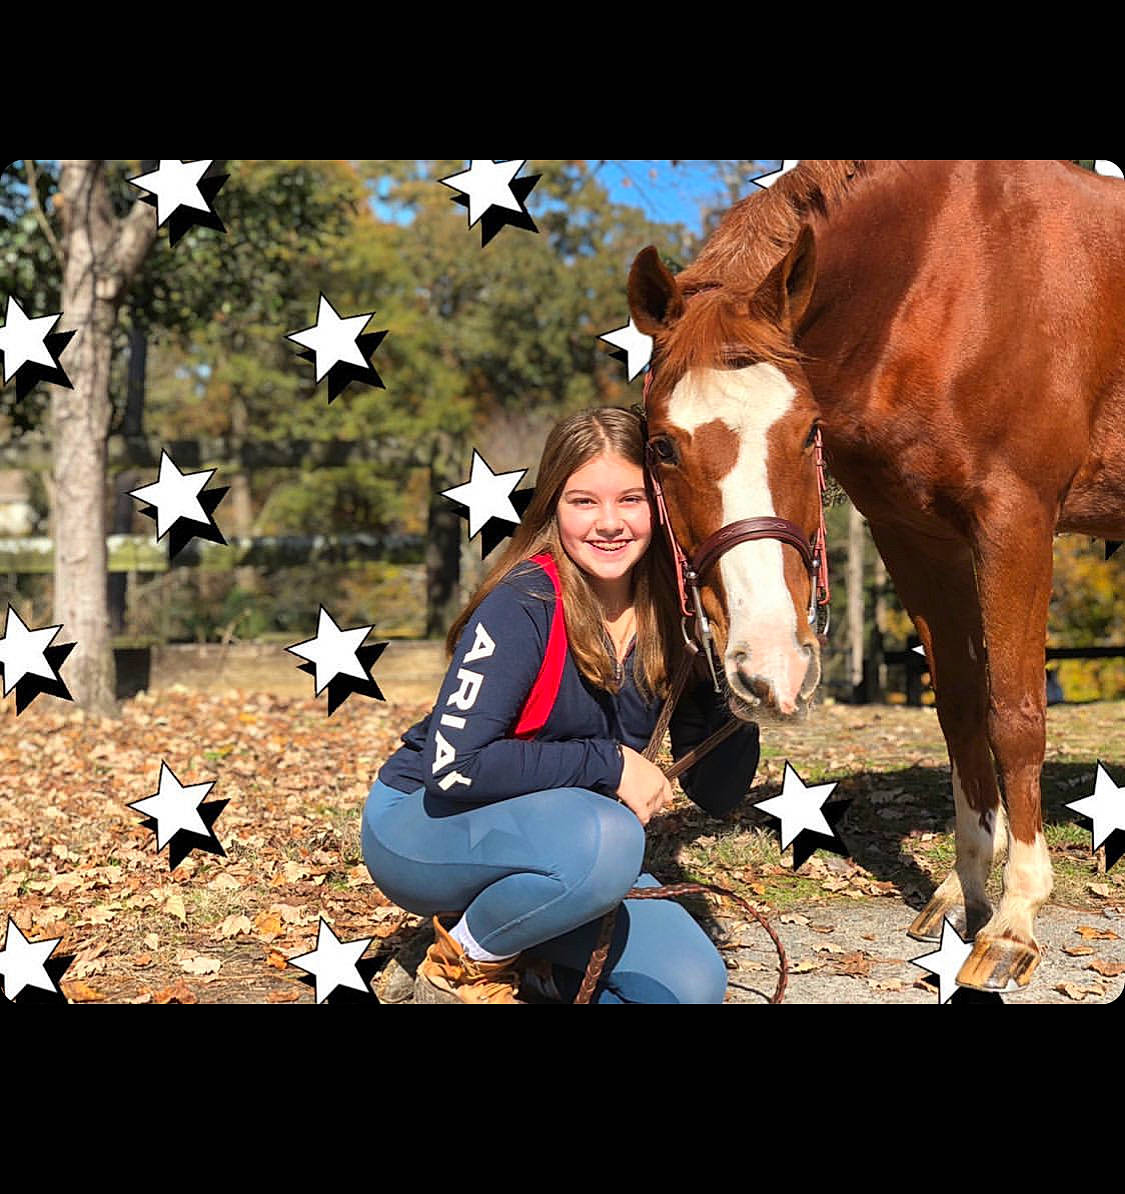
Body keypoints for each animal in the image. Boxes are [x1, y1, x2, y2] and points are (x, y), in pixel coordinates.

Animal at [628, 160, 1125, 993]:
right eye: (661, 445)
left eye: (806, 433)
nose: (771, 665)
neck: (952, 272)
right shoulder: (914, 537)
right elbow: (960, 712)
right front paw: (964, 889)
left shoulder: (1015, 521)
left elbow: (1013, 716)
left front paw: (1015, 919)